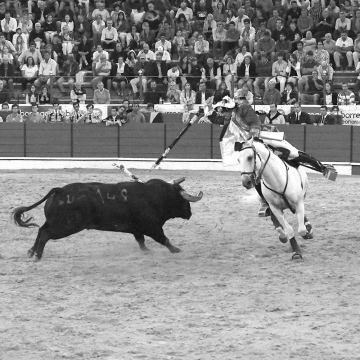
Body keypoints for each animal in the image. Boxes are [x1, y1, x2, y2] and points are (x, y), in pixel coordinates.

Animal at [13, 178, 202, 260]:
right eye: (184, 201)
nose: (190, 213)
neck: (156, 196)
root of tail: (58, 190)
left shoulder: (137, 229)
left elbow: (140, 241)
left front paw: (146, 251)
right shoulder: (153, 228)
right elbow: (164, 239)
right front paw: (175, 250)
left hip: (55, 222)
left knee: (41, 230)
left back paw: (31, 251)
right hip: (65, 226)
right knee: (45, 234)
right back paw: (38, 256)